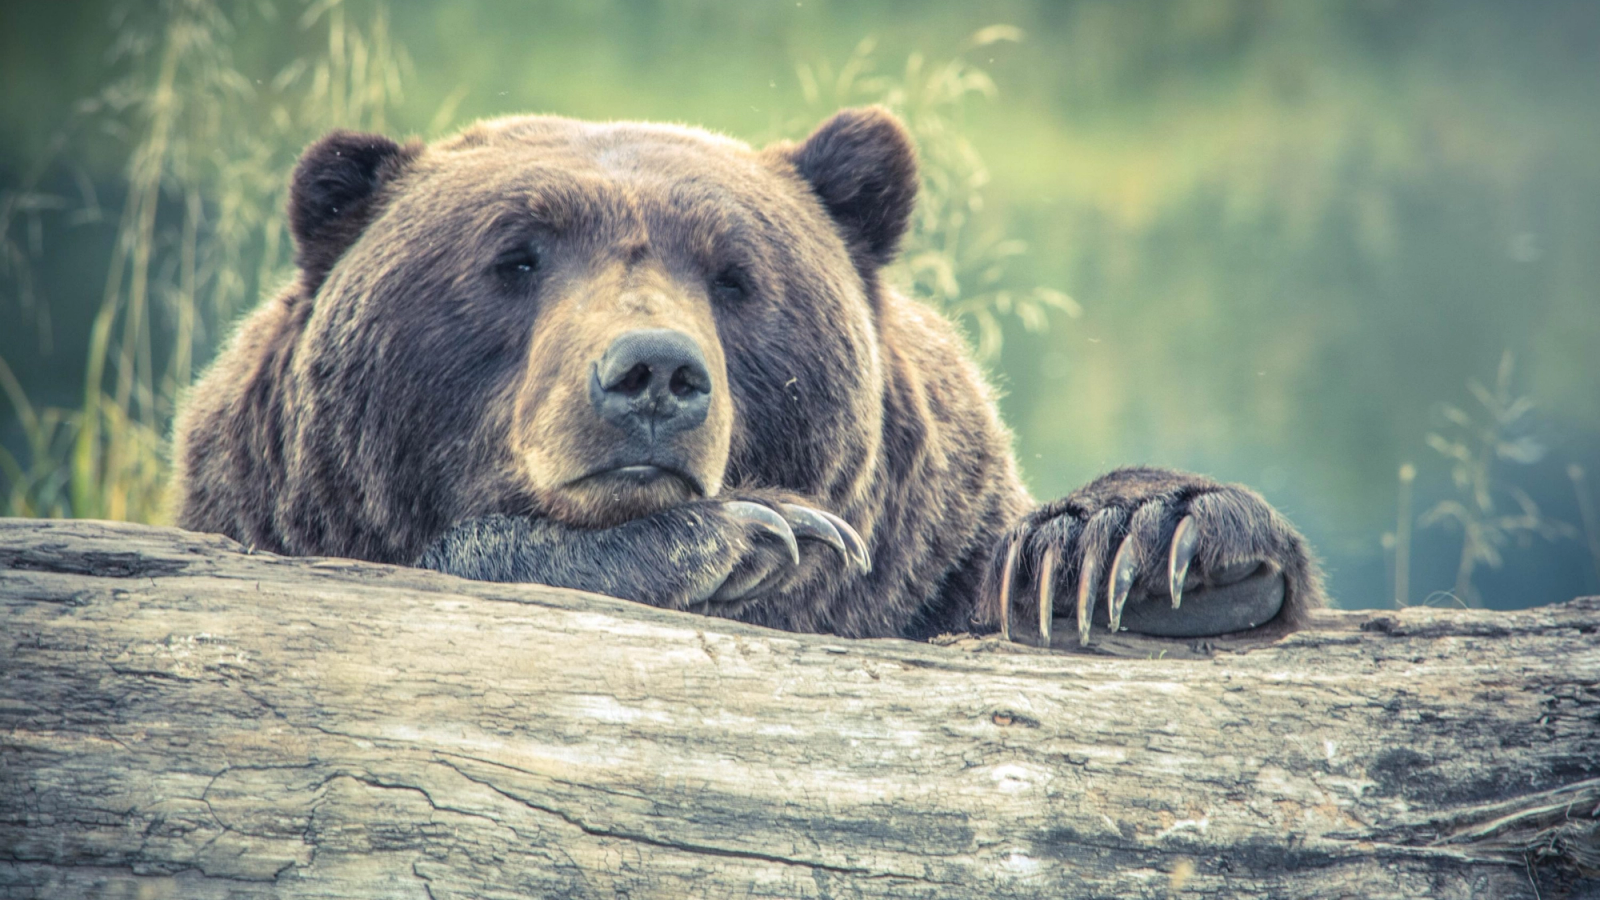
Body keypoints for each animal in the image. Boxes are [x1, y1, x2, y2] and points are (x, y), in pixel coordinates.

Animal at [172, 106, 1323, 645]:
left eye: (733, 275)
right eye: (515, 257)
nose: (652, 373)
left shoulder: (928, 558)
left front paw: (1132, 545)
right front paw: (747, 534)